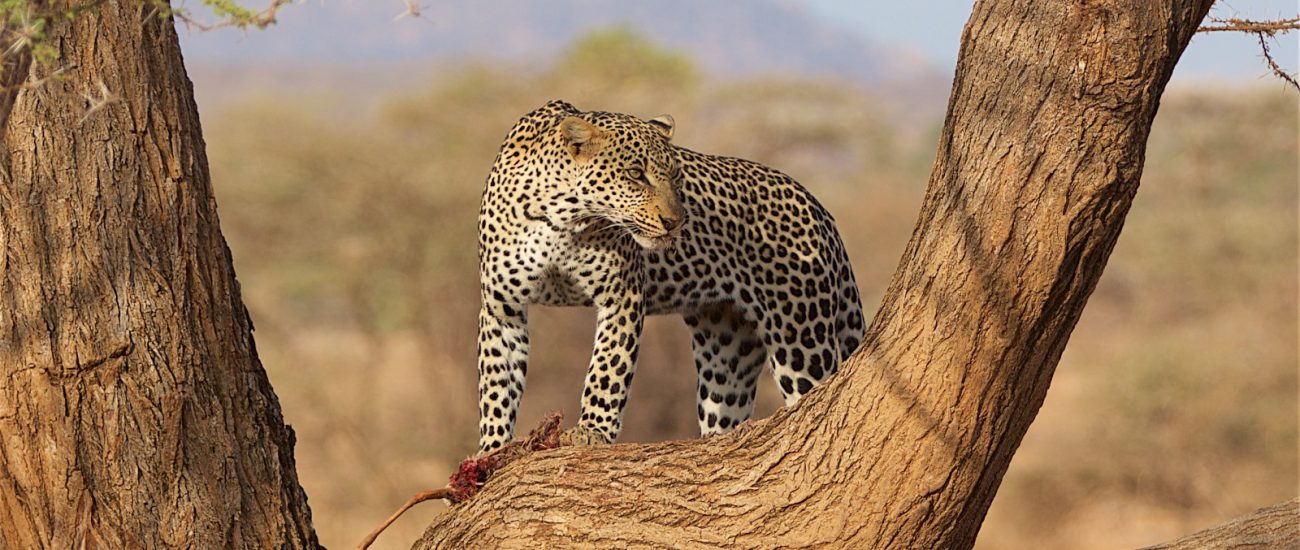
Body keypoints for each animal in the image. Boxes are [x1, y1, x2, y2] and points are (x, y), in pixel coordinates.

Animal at [475, 98, 863, 452]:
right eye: (635, 174)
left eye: (675, 176)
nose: (675, 222)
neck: (561, 217)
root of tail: (818, 206)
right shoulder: (501, 308)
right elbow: (496, 386)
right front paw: (491, 450)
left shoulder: (623, 296)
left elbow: (607, 370)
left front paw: (592, 431)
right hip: (727, 352)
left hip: (801, 338)